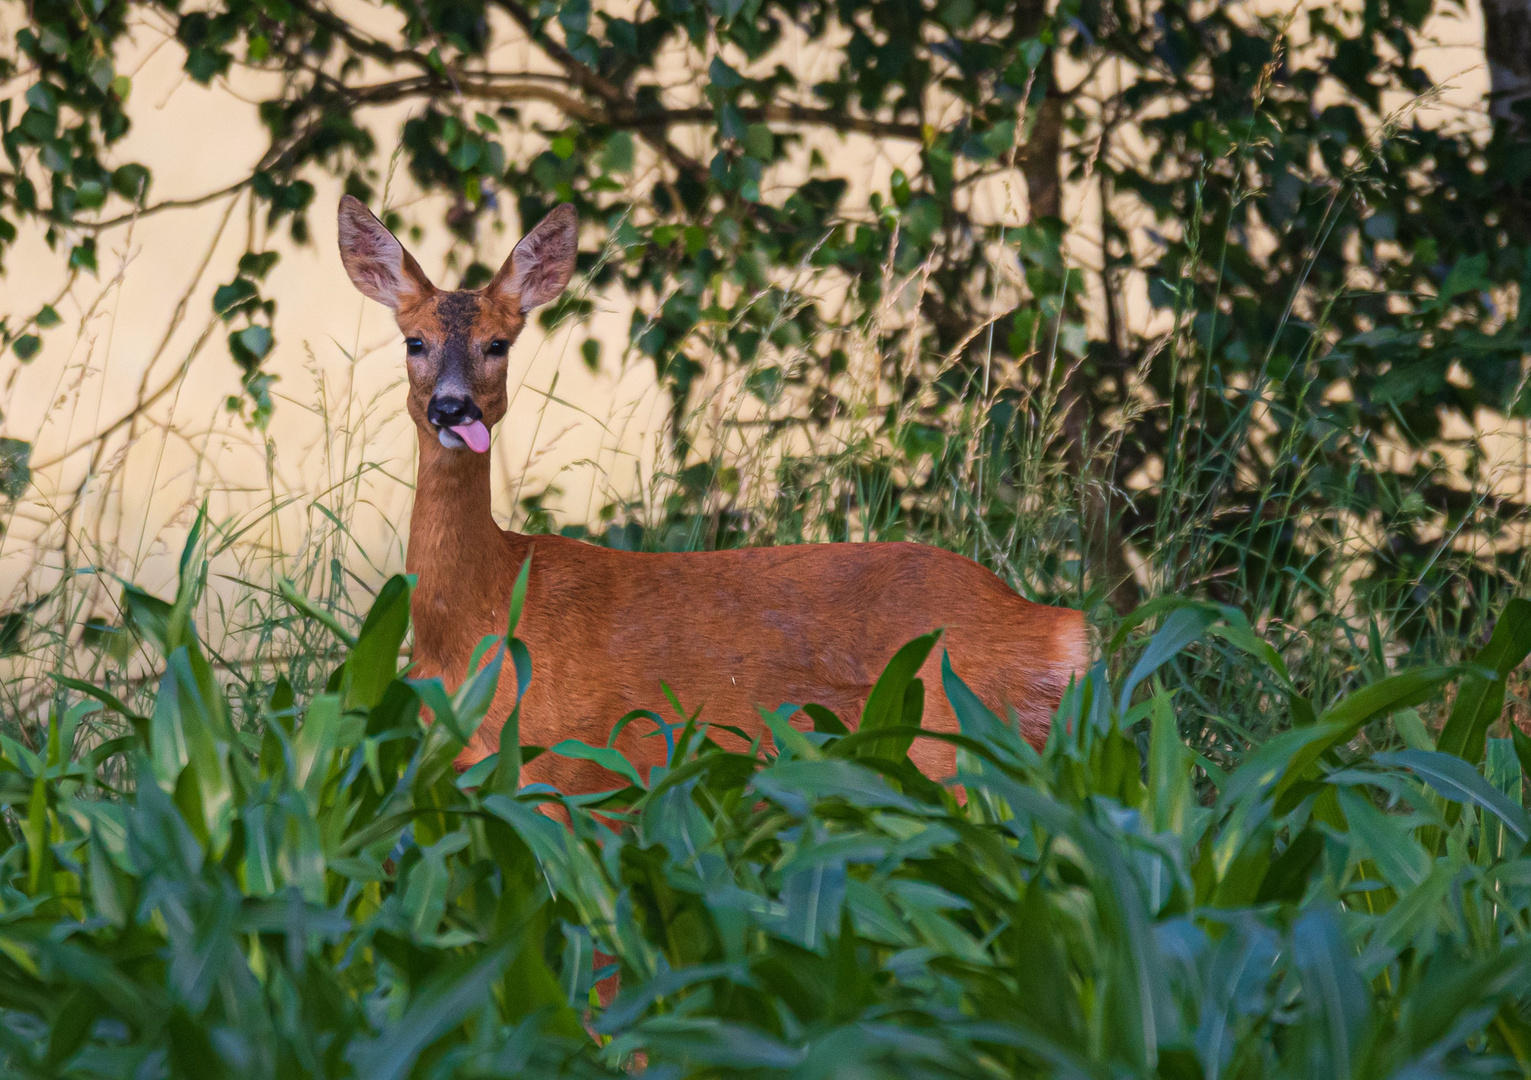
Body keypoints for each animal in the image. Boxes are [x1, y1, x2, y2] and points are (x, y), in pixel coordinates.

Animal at [335, 196, 1090, 784]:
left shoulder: (568, 767)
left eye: (498, 343)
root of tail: (1062, 630)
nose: (452, 408)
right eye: (413, 341)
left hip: (955, 733)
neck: (479, 616)